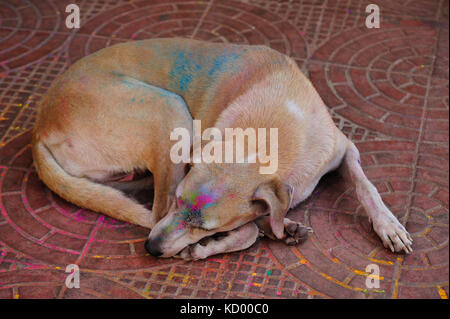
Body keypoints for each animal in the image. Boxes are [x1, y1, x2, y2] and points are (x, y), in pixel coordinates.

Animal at [30, 38, 412, 262]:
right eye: (179, 201)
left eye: (205, 226)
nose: (151, 249)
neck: (265, 138)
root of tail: (39, 129)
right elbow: (248, 230)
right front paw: (217, 244)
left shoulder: (344, 146)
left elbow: (366, 186)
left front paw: (389, 225)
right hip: (170, 110)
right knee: (153, 211)